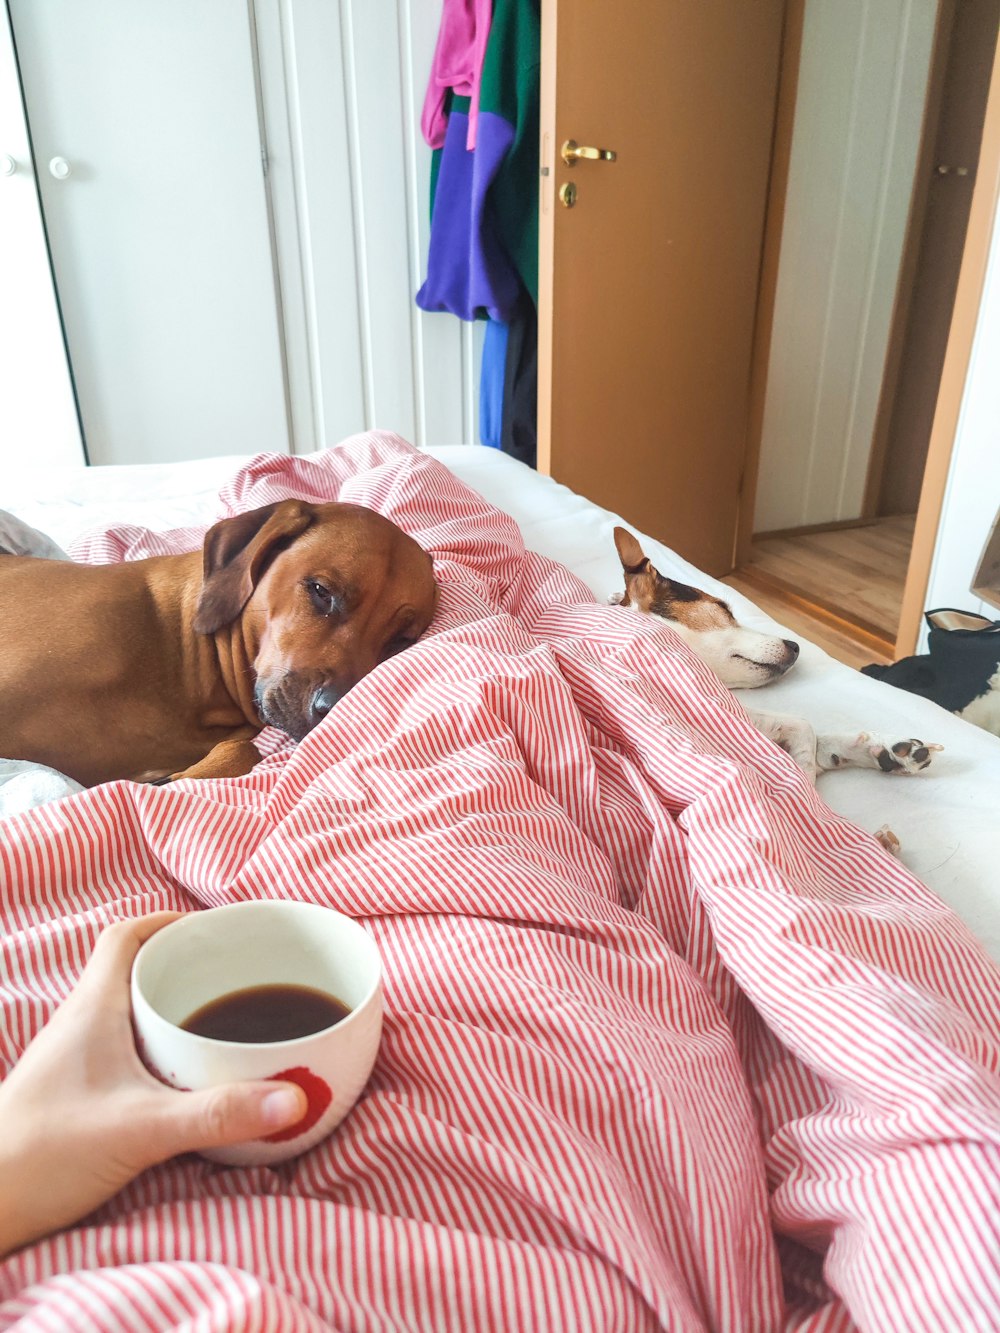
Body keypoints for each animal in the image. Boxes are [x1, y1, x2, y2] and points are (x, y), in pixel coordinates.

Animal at [610, 527, 938, 821]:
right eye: (723, 608)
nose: (795, 646)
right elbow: (804, 728)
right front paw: (804, 784)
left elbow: (813, 735)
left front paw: (887, 752)